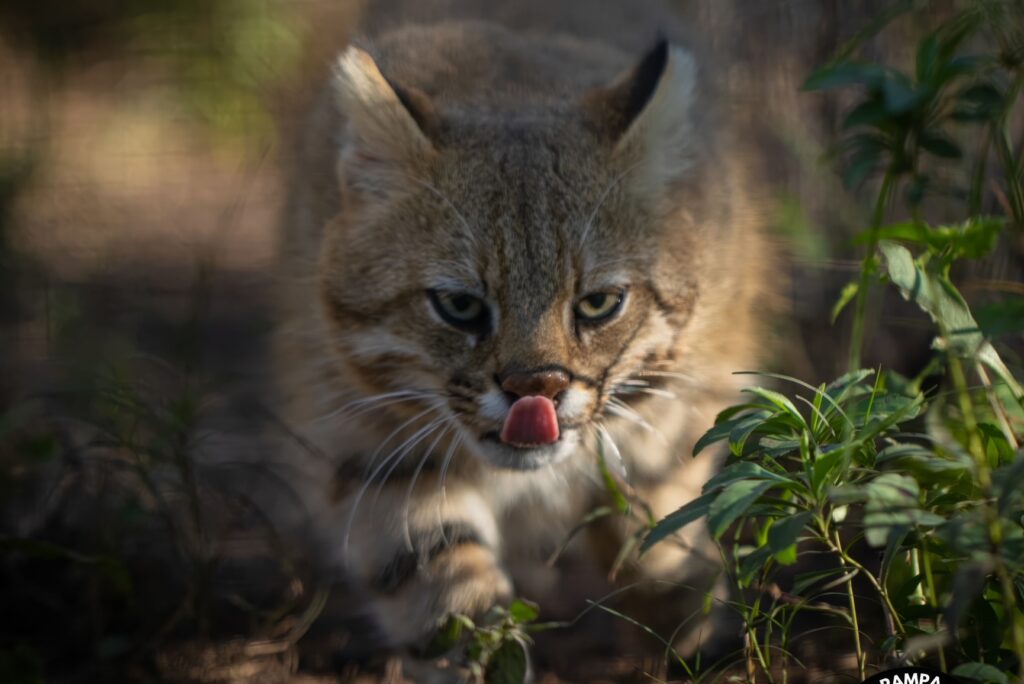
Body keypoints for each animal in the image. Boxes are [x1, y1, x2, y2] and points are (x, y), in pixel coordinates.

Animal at [276, 0, 770, 667]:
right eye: (459, 306)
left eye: (598, 304)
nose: (538, 390)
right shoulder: (360, 419)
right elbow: (433, 570)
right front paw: (479, 649)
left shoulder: (694, 375)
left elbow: (662, 493)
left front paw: (680, 604)